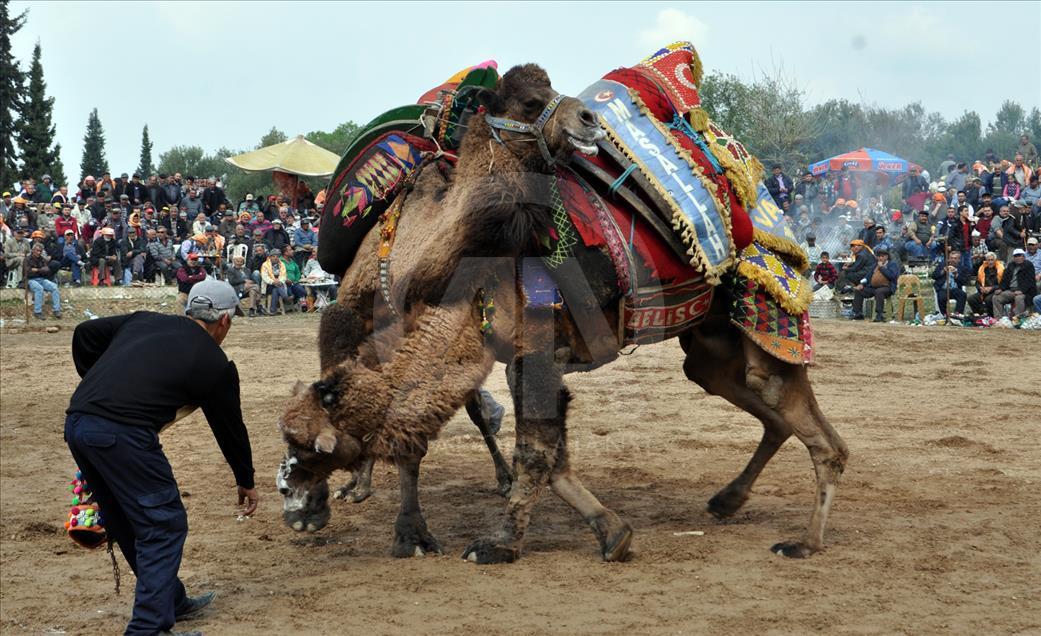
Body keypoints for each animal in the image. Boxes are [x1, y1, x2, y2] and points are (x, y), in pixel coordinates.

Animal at [274, 63, 845, 562]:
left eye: (306, 445)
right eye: (292, 439)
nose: (291, 502)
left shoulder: (531, 352)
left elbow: (535, 454)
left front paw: (496, 544)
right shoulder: (489, 350)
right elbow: (544, 455)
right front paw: (610, 532)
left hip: (766, 316)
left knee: (816, 432)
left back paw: (806, 542)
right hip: (709, 344)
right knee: (763, 410)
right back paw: (729, 499)